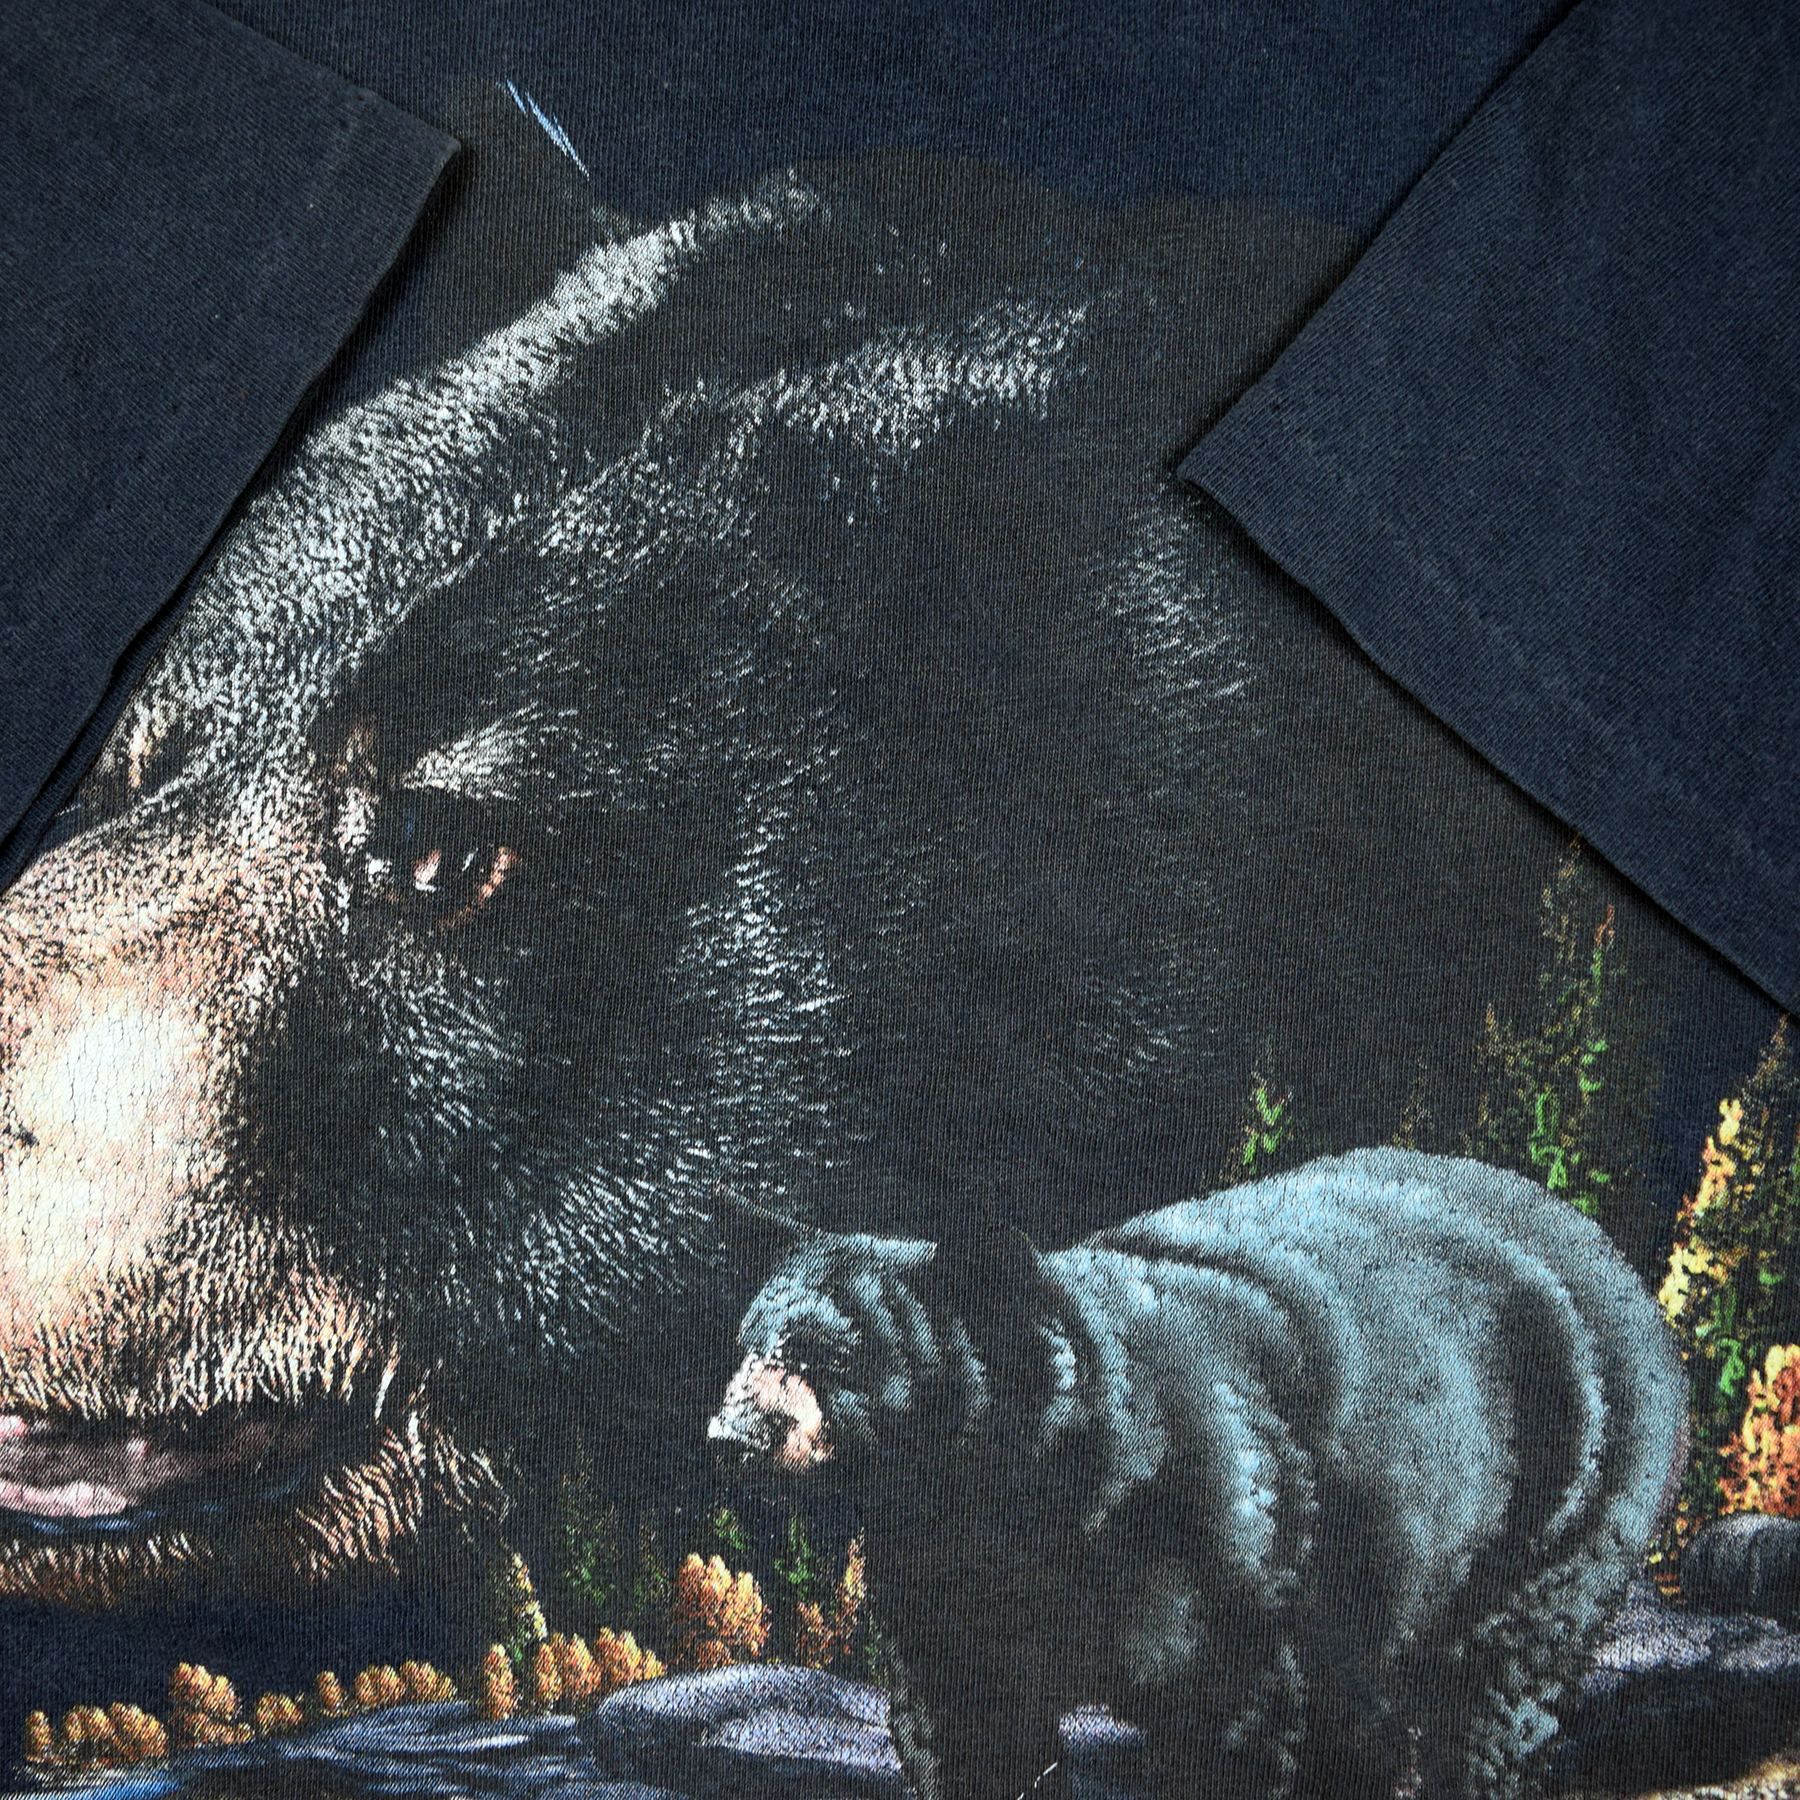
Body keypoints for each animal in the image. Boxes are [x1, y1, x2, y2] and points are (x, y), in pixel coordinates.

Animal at [710, 1148, 1688, 1800]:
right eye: (750, 1342)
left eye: (830, 1359)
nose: (729, 1436)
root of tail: (1602, 1251)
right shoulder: (941, 1581)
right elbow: (969, 1728)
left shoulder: (1218, 1547)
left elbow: (1229, 1716)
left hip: (1577, 1492)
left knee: (1495, 1687)